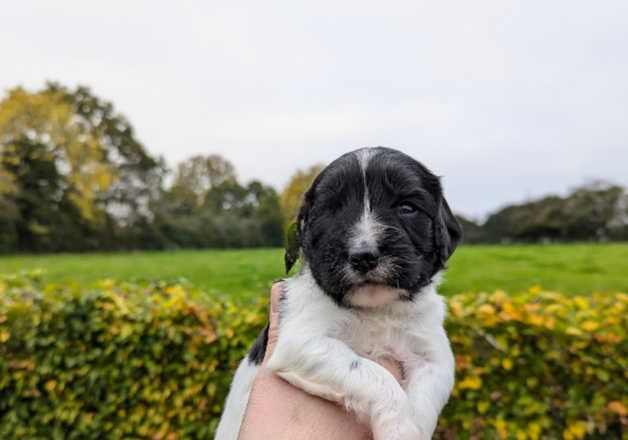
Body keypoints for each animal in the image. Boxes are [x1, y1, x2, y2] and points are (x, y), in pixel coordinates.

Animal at [216, 148, 462, 440]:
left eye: (407, 208)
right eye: (332, 211)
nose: (363, 256)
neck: (375, 309)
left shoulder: (433, 356)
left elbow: (424, 403)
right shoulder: (301, 341)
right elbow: (374, 374)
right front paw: (399, 430)